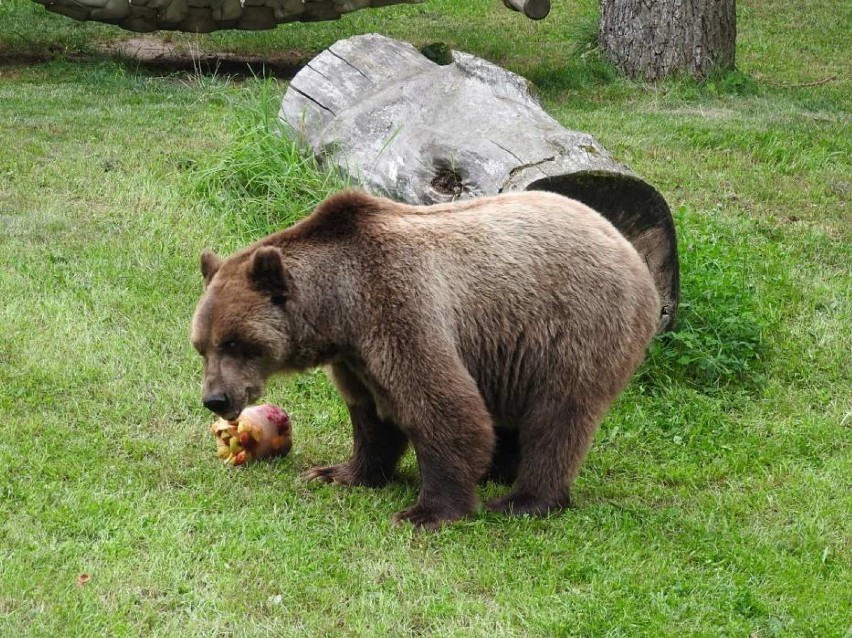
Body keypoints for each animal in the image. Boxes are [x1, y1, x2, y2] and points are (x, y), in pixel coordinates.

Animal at [191, 189, 660, 528]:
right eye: (202, 345)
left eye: (234, 343)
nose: (215, 399)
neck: (339, 307)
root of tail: (630, 251)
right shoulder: (356, 357)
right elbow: (371, 417)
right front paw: (337, 473)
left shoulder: (399, 306)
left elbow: (441, 407)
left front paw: (426, 511)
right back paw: (497, 471)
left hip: (576, 328)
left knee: (557, 417)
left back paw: (523, 499)